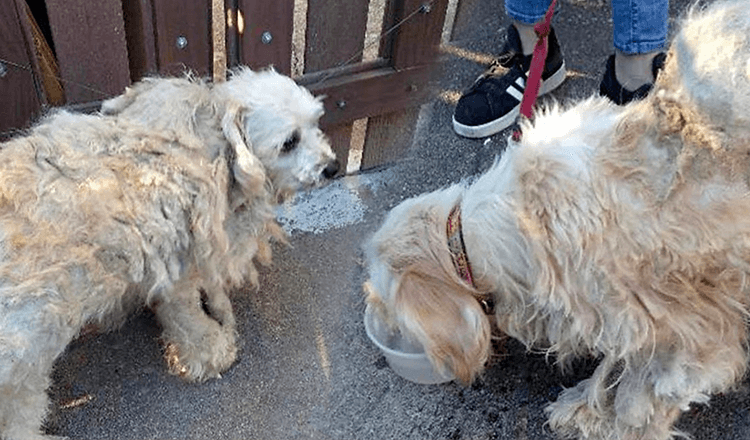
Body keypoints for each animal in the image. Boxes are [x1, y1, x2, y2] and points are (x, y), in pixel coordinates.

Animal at [0, 68, 338, 440]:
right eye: (289, 142)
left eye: (316, 122)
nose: (333, 167)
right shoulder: (176, 264)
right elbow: (185, 312)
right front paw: (210, 351)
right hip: (26, 345)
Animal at [368, 1, 750, 438]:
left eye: (389, 305)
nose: (383, 327)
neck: (521, 219)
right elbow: (616, 368)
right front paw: (586, 408)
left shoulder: (687, 339)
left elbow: (639, 400)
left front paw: (616, 424)